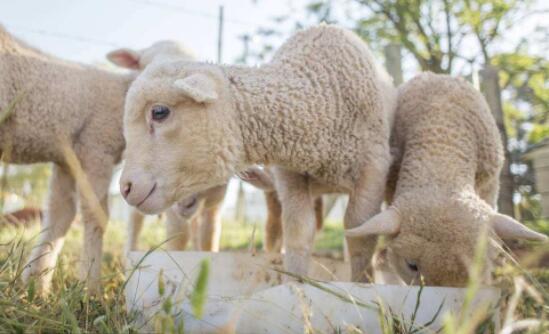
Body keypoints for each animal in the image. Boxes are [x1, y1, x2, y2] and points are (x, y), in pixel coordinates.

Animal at [0, 24, 193, 294]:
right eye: (145, 64)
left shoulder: (67, 157)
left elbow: (59, 216)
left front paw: (36, 287)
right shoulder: (95, 148)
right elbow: (96, 214)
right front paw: (91, 289)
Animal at [119, 25, 394, 282]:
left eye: (159, 112)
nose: (126, 188)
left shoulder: (373, 167)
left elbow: (361, 237)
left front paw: (362, 283)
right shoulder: (290, 175)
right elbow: (298, 233)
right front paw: (295, 283)